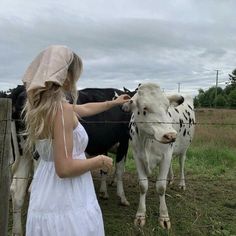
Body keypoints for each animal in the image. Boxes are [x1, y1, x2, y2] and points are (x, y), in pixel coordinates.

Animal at [122, 82, 195, 229]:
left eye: (167, 108)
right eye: (144, 108)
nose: (171, 135)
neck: (147, 140)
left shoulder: (166, 155)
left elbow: (161, 187)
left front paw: (164, 217)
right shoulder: (137, 156)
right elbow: (143, 185)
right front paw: (140, 215)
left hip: (184, 148)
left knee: (181, 163)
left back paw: (181, 184)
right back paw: (171, 179)